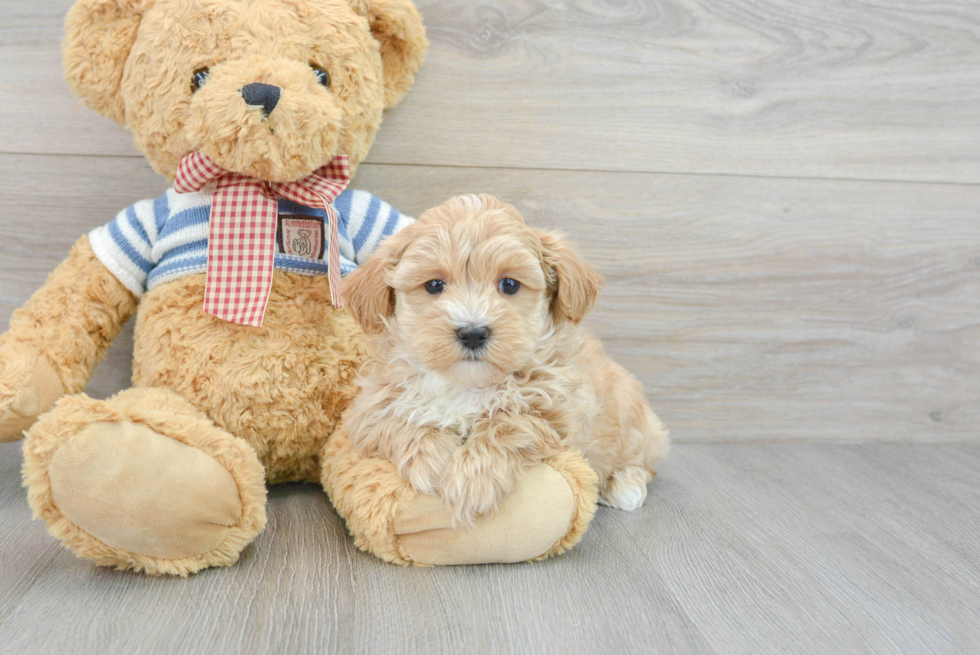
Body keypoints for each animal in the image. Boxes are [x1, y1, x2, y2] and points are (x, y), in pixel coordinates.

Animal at [340, 192, 668, 524]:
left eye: (509, 284)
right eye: (434, 285)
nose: (472, 333)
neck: (465, 384)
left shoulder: (560, 409)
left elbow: (510, 422)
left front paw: (471, 482)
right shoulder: (367, 409)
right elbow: (397, 420)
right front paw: (433, 462)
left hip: (635, 422)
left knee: (643, 462)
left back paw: (625, 486)